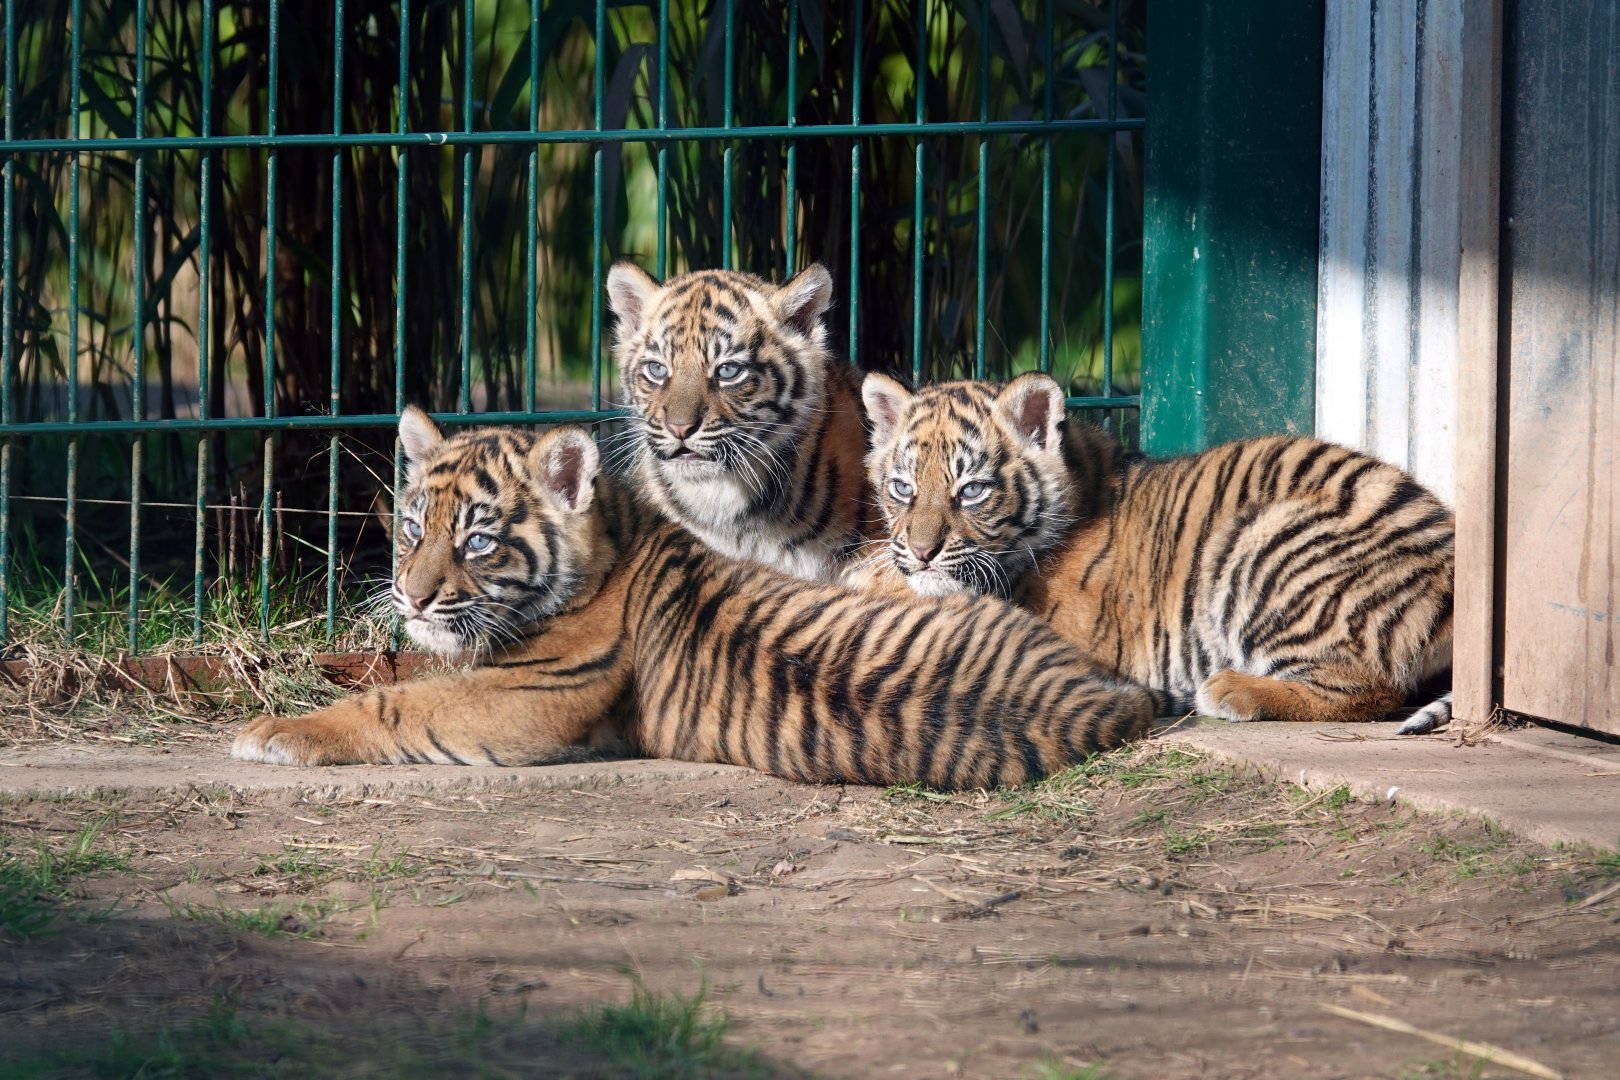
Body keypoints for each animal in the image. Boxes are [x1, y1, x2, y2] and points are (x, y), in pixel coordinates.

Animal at [230, 408, 1159, 789]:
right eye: (415, 528)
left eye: (478, 541)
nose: (411, 599)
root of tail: (1103, 700)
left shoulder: (530, 695)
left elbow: (397, 704)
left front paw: (273, 732)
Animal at [858, 372, 1456, 734]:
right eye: (903, 488)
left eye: (972, 490)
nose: (921, 551)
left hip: (1260, 539)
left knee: (1372, 688)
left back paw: (1229, 690)